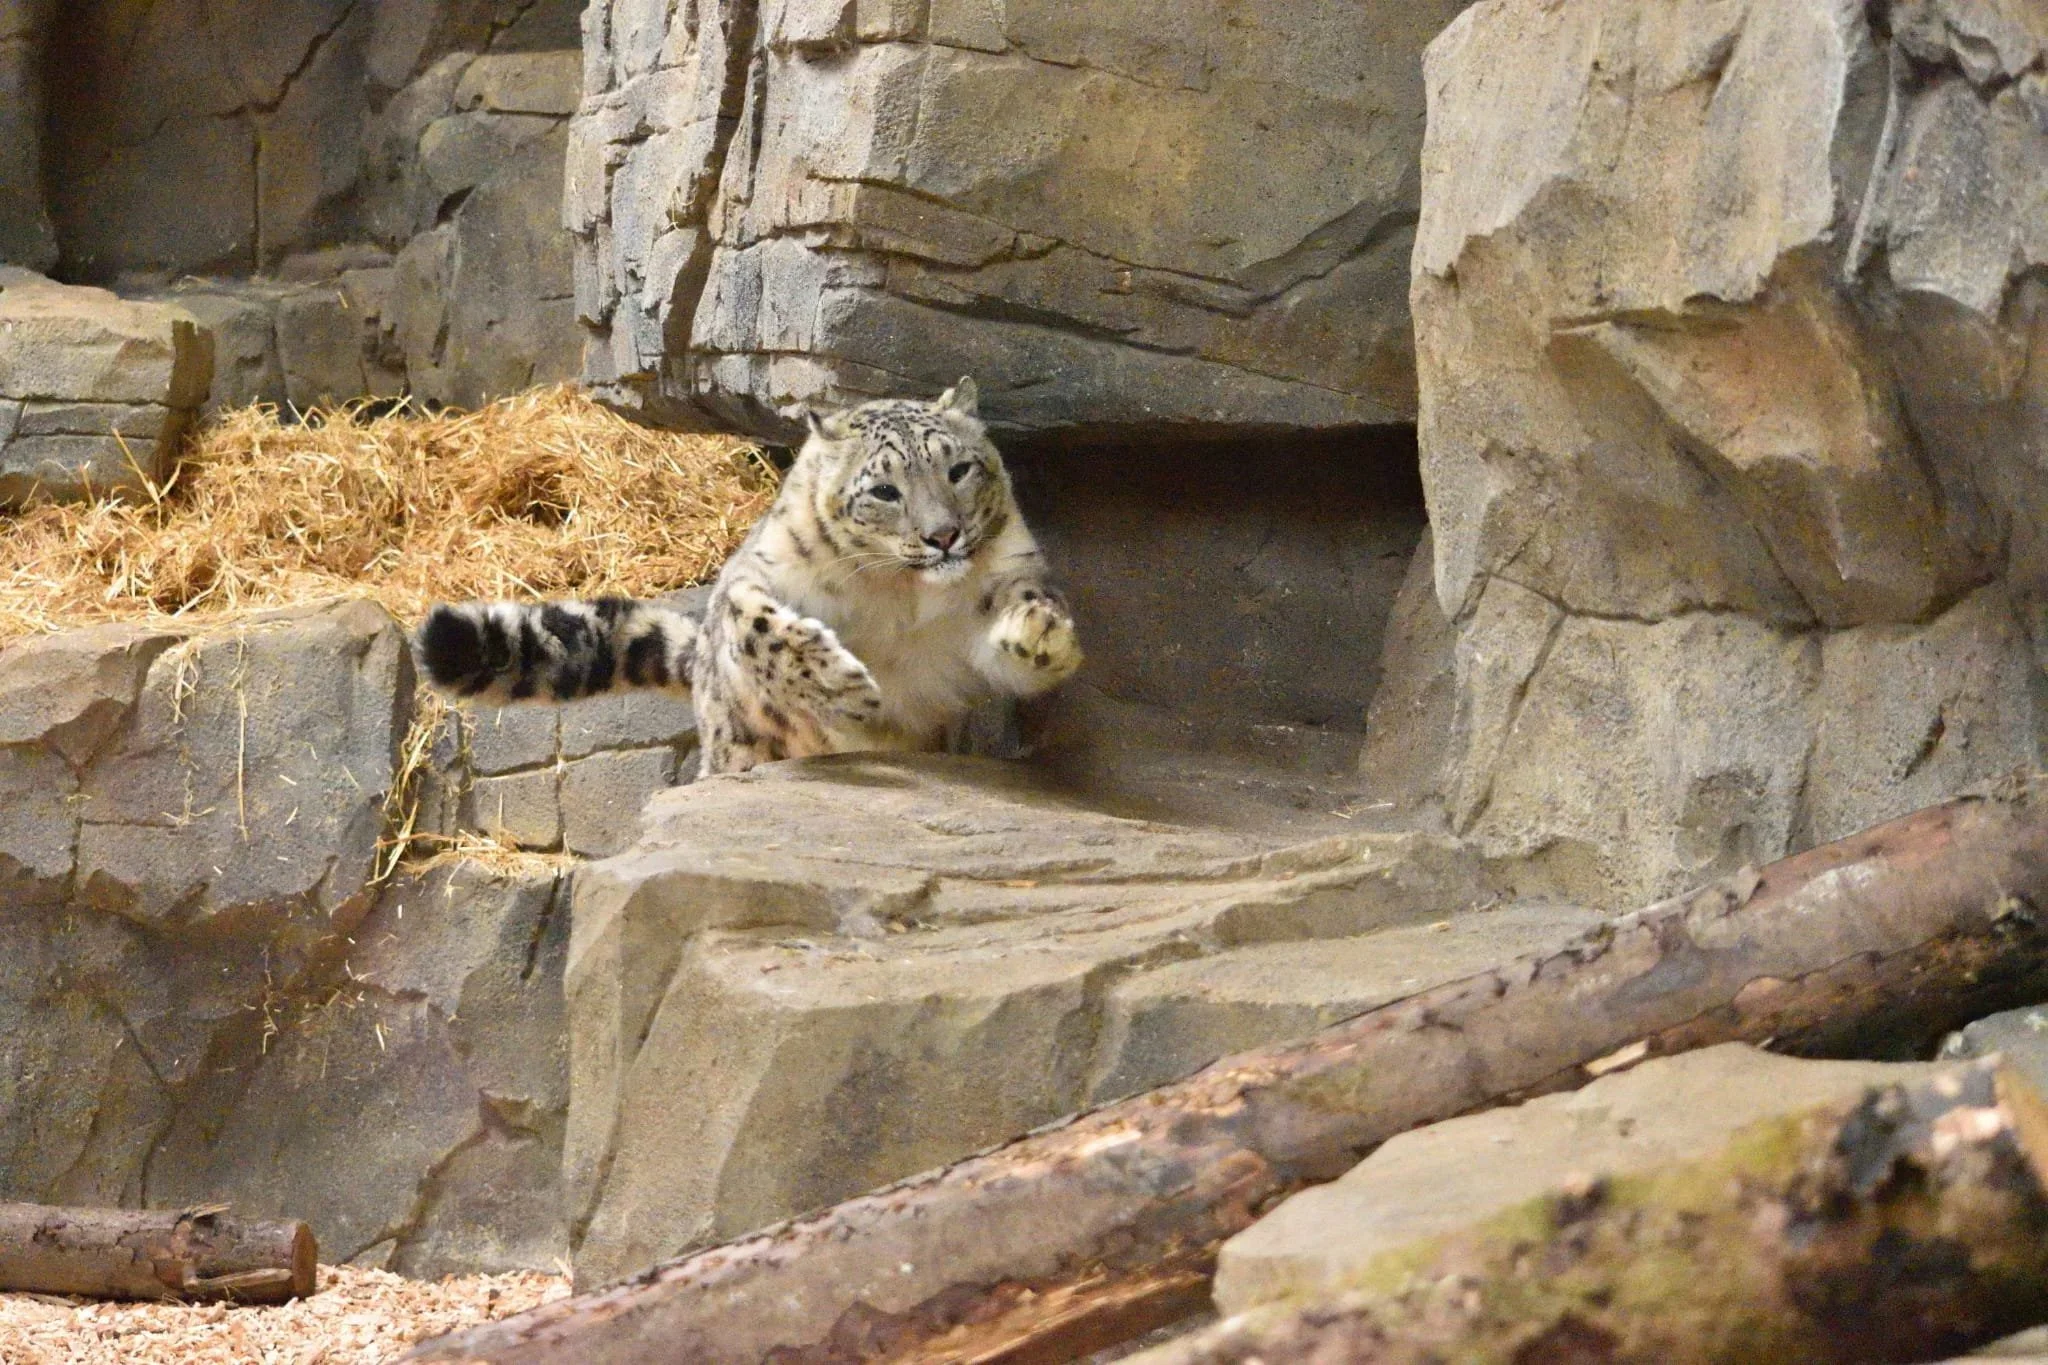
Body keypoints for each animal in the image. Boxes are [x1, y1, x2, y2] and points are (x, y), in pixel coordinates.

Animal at [413, 378, 1083, 777]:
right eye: (885, 491)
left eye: (960, 469)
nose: (943, 536)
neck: (902, 594)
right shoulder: (756, 576)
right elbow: (756, 624)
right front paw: (839, 684)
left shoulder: (995, 586)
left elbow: (1021, 613)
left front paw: (1041, 634)